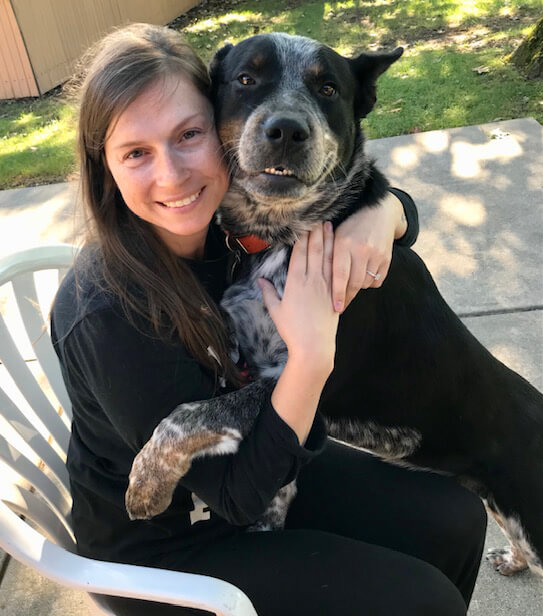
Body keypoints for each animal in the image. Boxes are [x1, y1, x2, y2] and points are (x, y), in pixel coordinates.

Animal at [124, 35, 543, 576]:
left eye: (328, 88)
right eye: (246, 79)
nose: (286, 129)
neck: (282, 235)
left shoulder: (308, 384)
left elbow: (190, 413)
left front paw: (146, 483)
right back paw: (511, 561)